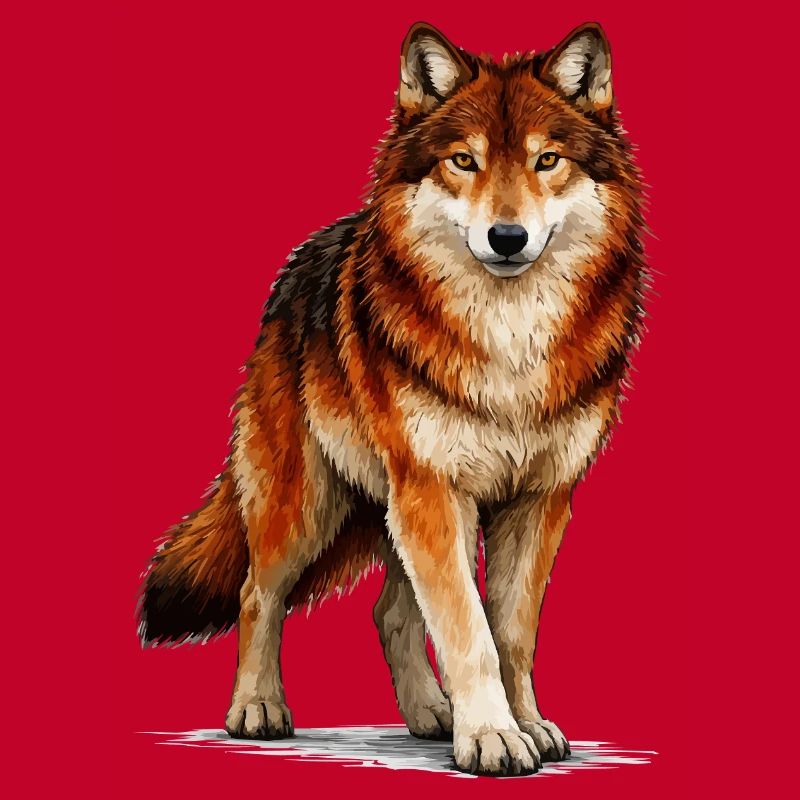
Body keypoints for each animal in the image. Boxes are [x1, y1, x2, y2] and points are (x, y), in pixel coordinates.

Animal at [138, 21, 647, 776]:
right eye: (463, 161)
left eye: (546, 160)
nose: (507, 238)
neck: (510, 341)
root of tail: (301, 263)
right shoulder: (433, 489)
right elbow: (470, 631)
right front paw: (493, 737)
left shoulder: (539, 499)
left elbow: (511, 633)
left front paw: (526, 725)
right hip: (311, 504)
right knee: (259, 592)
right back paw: (257, 710)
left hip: (398, 508)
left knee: (390, 611)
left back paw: (432, 715)